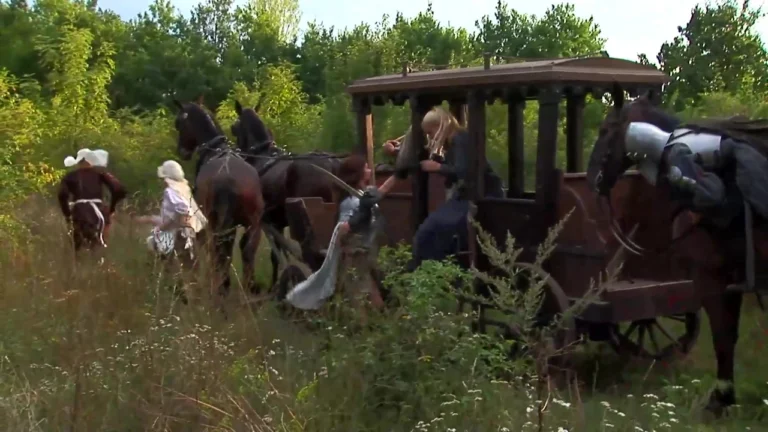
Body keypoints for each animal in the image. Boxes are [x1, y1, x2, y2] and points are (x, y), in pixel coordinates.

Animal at [172, 100, 266, 303]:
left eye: (179, 123)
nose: (182, 151)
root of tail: (227, 180)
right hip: (253, 224)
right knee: (246, 251)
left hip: (214, 223)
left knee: (218, 252)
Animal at [231, 100, 343, 287]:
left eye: (234, 127)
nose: (238, 152)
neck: (262, 157)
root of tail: (331, 165)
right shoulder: (277, 222)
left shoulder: (269, 222)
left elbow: (275, 255)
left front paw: (275, 284)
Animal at [585, 93, 768, 415]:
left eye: (606, 130)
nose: (593, 180)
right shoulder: (730, 281)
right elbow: (728, 336)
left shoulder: (713, 280)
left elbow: (723, 338)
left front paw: (719, 401)